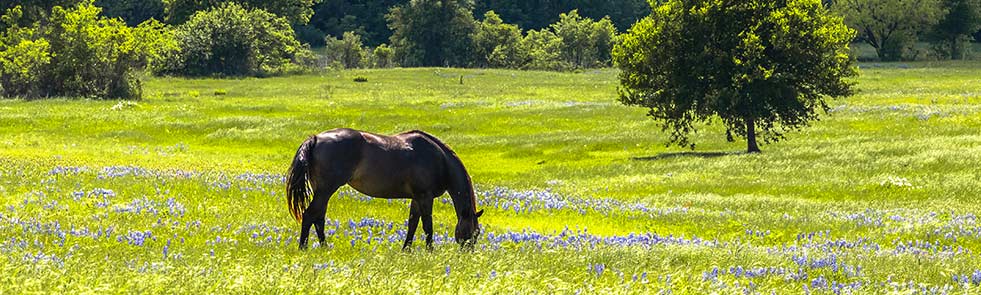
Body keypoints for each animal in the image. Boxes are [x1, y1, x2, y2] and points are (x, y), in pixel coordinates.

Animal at [284, 128, 482, 251]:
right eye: (473, 232)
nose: (468, 253)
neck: (440, 161)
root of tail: (316, 138)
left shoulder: (417, 198)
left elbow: (412, 223)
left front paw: (406, 249)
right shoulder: (425, 196)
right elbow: (427, 225)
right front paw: (430, 250)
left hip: (323, 191)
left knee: (319, 218)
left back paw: (324, 247)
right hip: (326, 190)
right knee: (310, 215)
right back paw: (304, 248)